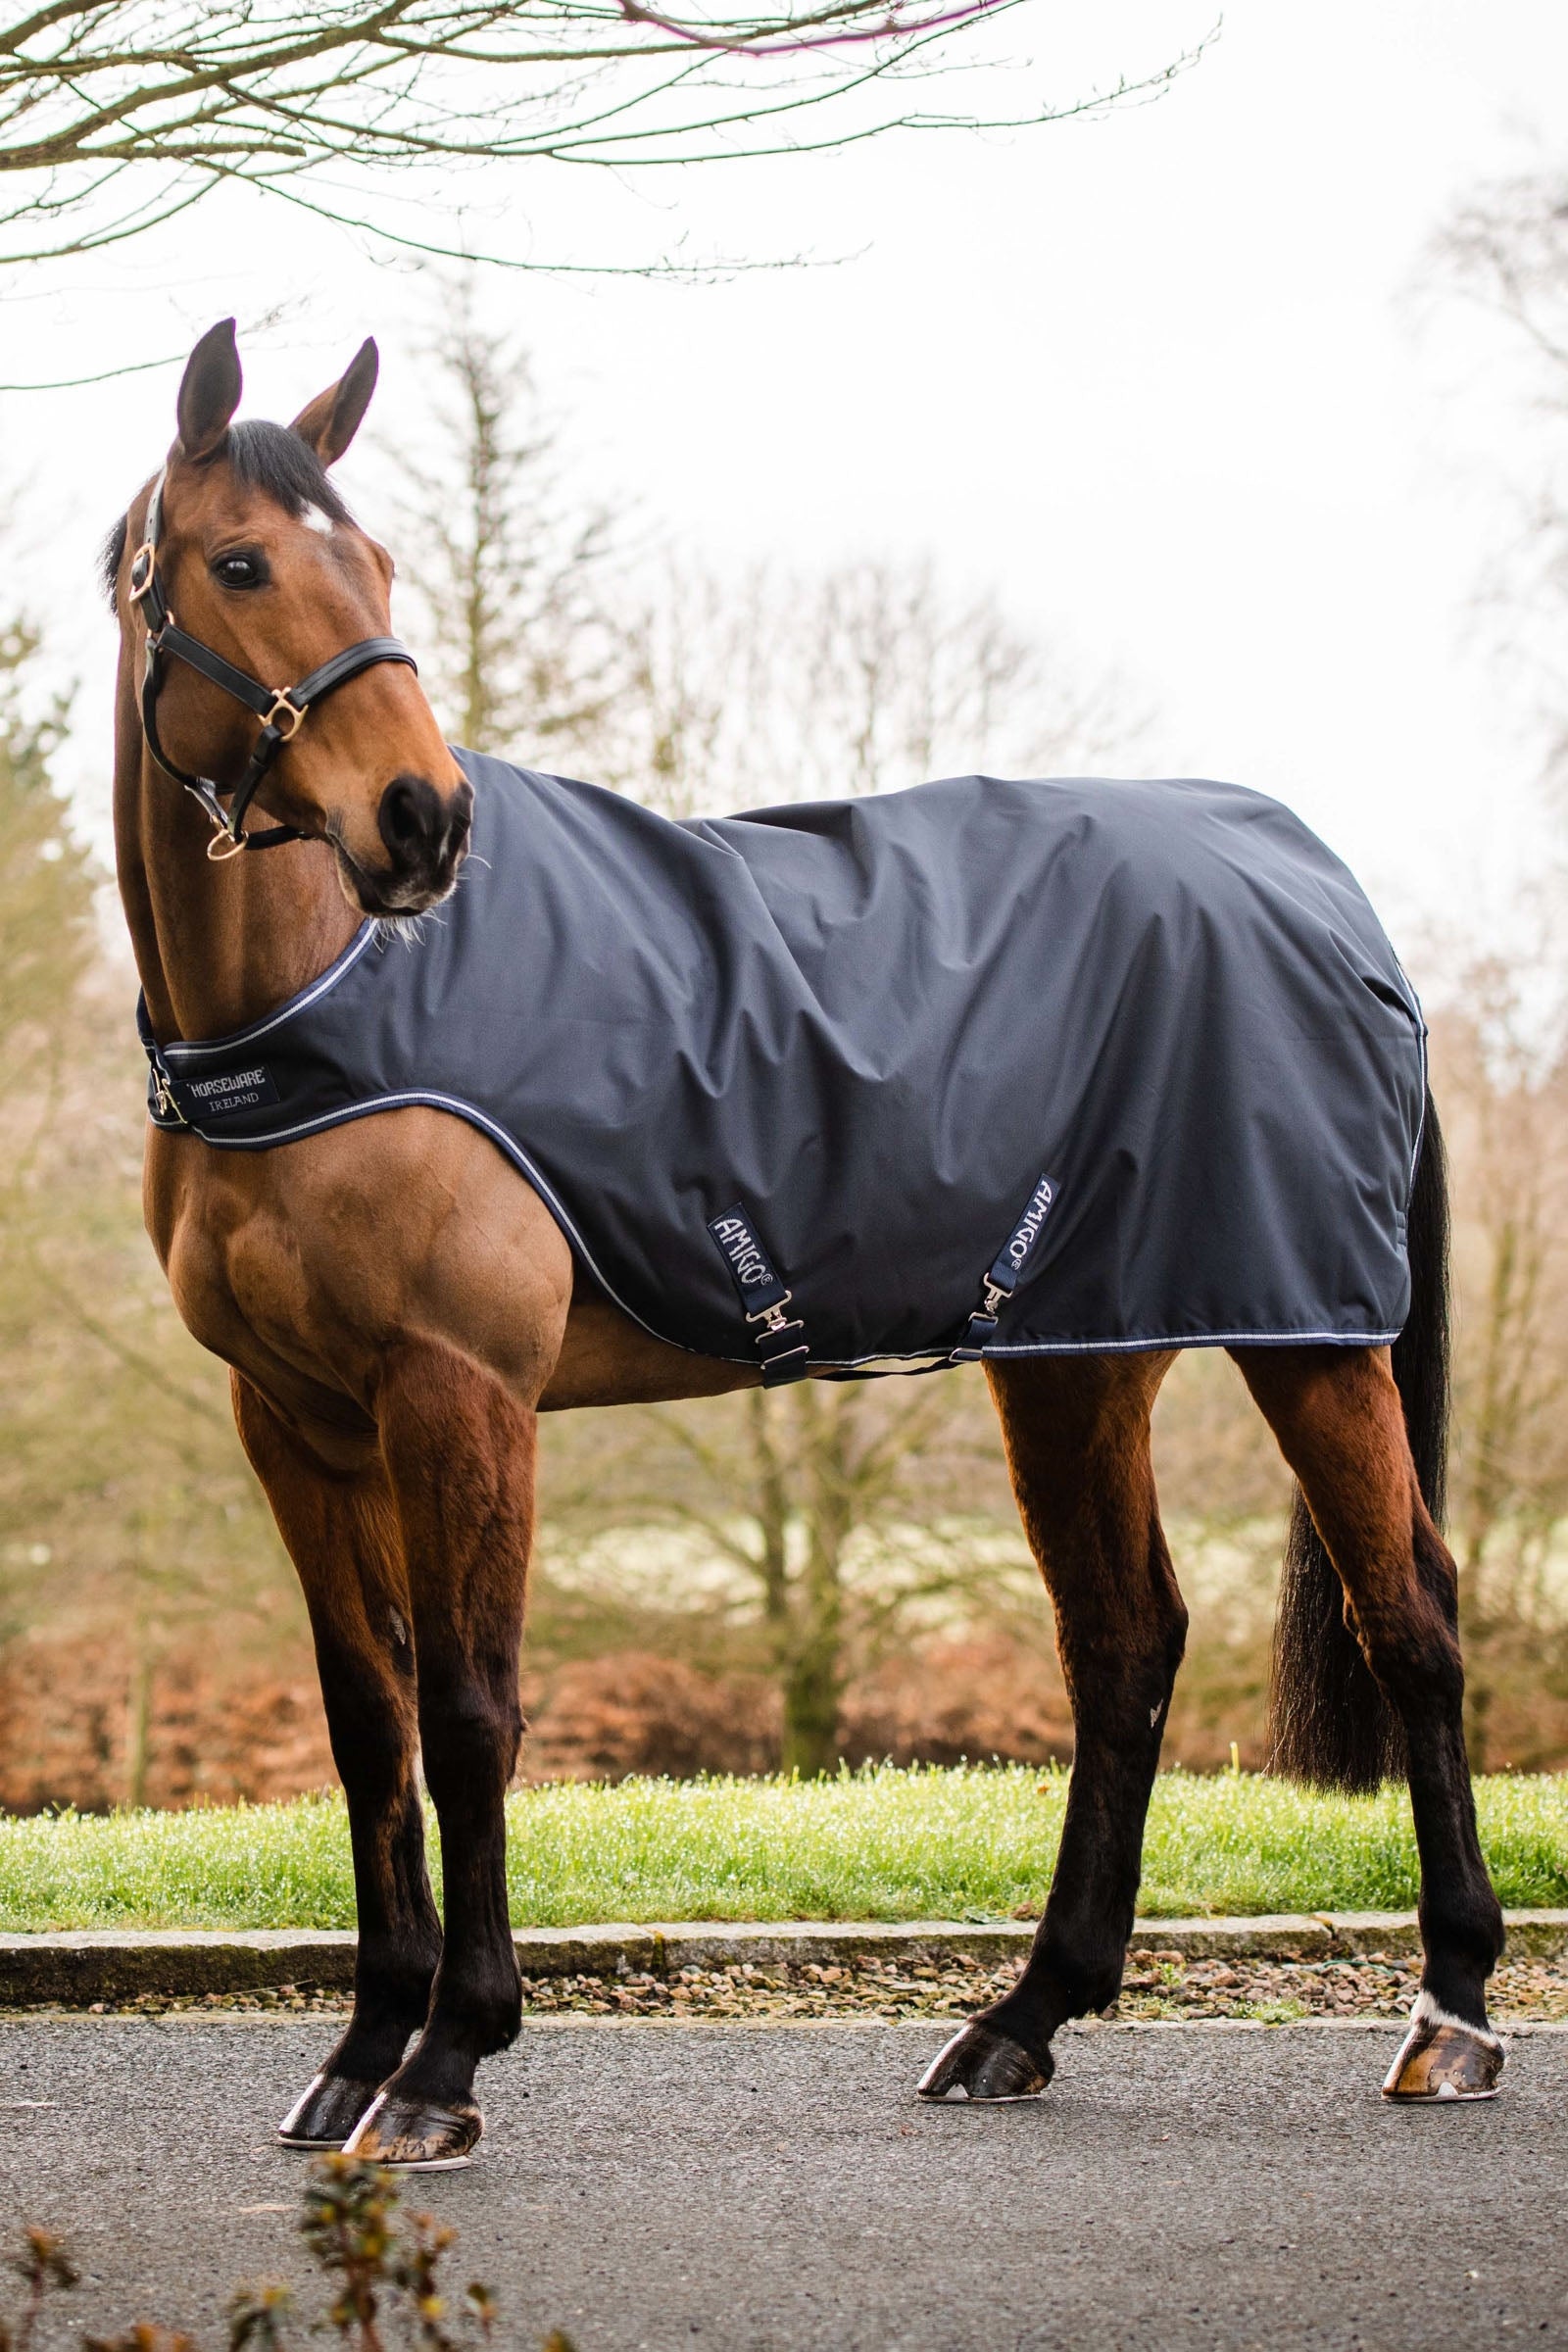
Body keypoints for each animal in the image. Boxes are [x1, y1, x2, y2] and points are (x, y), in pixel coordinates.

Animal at [103, 318, 1505, 2170]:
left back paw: (1454, 2013)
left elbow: (472, 1713)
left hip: (1313, 1342)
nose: (423, 823)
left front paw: (446, 2063)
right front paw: (358, 2049)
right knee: (1126, 1644)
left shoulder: (458, 1394)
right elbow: (365, 1721)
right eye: (243, 563)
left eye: (379, 562)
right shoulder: (295, 1422)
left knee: (1408, 1613)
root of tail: (1330, 892)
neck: (331, 1008)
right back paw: (1021, 2020)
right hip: (1076, 1362)